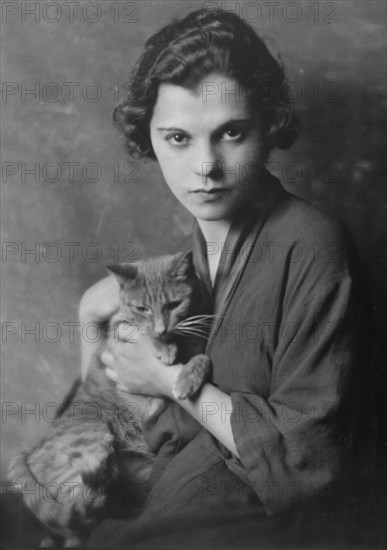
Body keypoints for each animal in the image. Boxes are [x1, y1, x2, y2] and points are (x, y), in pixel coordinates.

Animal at [8, 252, 212, 548]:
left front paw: (188, 377)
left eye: (173, 305)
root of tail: (28, 453)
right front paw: (163, 348)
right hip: (91, 445)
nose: (161, 330)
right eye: (142, 308)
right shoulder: (119, 329)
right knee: (78, 518)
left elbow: (202, 358)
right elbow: (142, 333)